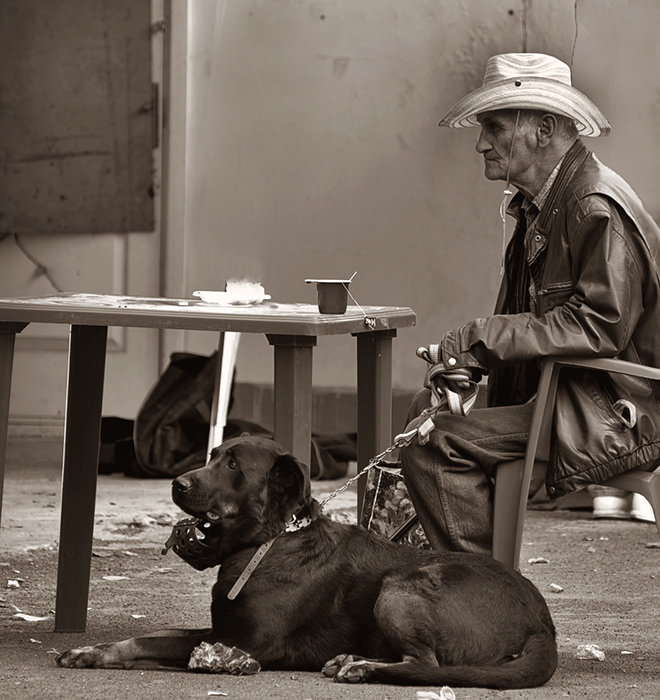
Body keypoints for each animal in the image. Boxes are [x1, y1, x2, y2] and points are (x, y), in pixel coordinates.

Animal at [55, 434, 556, 688]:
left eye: (233, 466)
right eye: (213, 455)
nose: (177, 483)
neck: (271, 542)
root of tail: (542, 622)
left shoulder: (249, 642)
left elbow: (158, 642)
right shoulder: (221, 630)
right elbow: (149, 638)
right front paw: (91, 652)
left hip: (403, 584)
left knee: (427, 663)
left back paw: (361, 668)